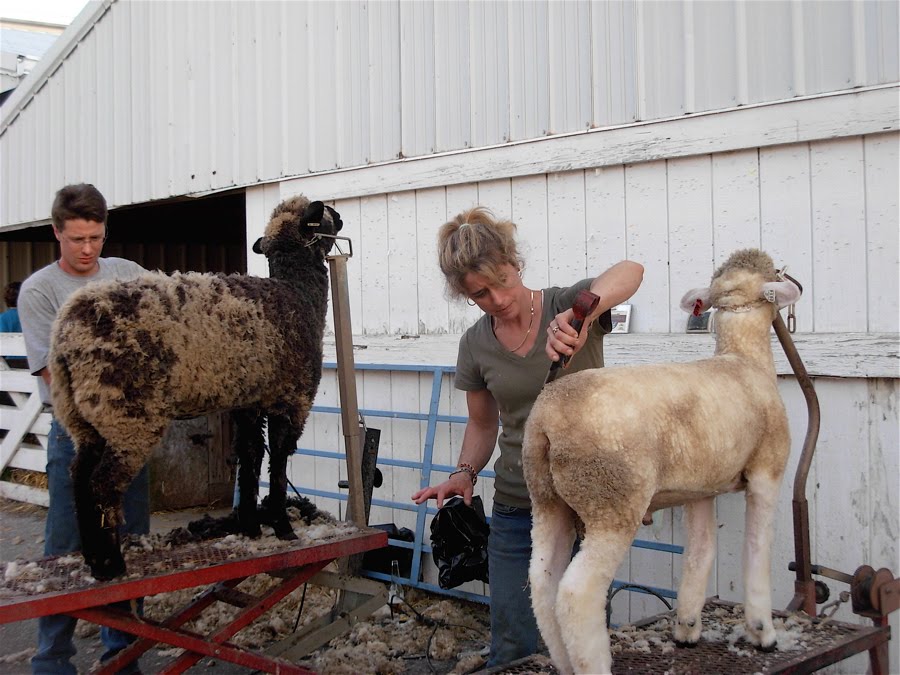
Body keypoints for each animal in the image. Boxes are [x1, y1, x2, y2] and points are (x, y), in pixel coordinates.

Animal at [49, 195, 342, 581]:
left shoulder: (248, 401)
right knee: (103, 485)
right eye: (322, 214)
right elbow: (278, 463)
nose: (340, 217)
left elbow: (250, 458)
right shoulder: (291, 396)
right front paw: (282, 526)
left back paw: (94, 560)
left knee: (80, 478)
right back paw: (111, 565)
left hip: (86, 416)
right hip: (127, 412)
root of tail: (66, 336)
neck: (299, 294)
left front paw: (250, 526)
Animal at [522, 248, 802, 675]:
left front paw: (687, 628)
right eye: (775, 274)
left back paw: (565, 662)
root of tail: (547, 419)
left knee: (542, 581)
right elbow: (757, 549)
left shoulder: (701, 487)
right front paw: (763, 633)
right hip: (612, 499)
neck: (744, 359)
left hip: (548, 499)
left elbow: (701, 551)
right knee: (576, 593)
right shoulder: (766, 471)